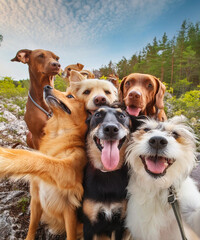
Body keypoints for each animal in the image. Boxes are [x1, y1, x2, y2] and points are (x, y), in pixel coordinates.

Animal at [0, 86, 87, 240]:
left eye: (70, 96)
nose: (47, 87)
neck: (58, 135)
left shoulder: (70, 172)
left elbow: (39, 158)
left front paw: (6, 158)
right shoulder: (36, 201)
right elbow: (32, 226)